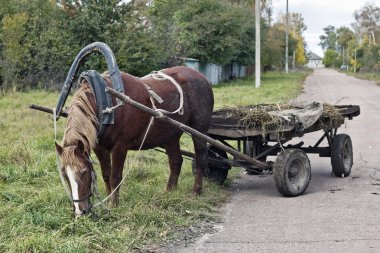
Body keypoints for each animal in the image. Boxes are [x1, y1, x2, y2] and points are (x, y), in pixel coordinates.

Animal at [54, 66, 214, 216]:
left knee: (201, 159)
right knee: (176, 161)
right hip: (171, 135)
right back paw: (169, 191)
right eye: (64, 174)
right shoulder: (99, 147)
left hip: (199, 131)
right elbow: (106, 174)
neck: (105, 104)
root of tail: (202, 77)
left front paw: (114, 205)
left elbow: (115, 177)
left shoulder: (120, 147)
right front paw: (108, 199)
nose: (80, 211)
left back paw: (196, 191)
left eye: (84, 172)